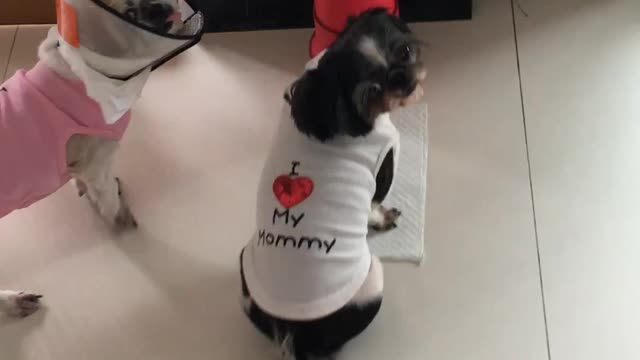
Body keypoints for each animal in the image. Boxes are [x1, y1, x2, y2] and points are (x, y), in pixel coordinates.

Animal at [240, 9, 424, 360]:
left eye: (405, 52)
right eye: (372, 92)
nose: (402, 80)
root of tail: (293, 333)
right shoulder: (383, 162)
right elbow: (374, 205)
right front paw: (383, 218)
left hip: (246, 267)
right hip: (372, 280)